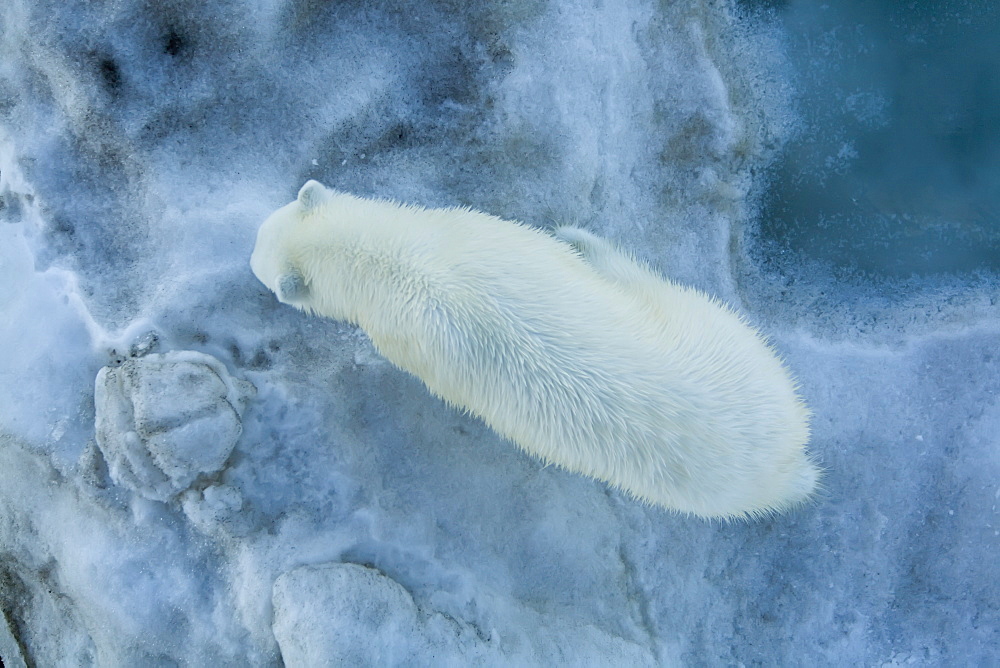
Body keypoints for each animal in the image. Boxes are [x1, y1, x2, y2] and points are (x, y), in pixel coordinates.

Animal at [252, 180, 820, 520]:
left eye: (257, 255)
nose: (249, 253)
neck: (392, 260)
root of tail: (788, 453)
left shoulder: (464, 247)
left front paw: (570, 237)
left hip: (713, 340)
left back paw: (586, 240)